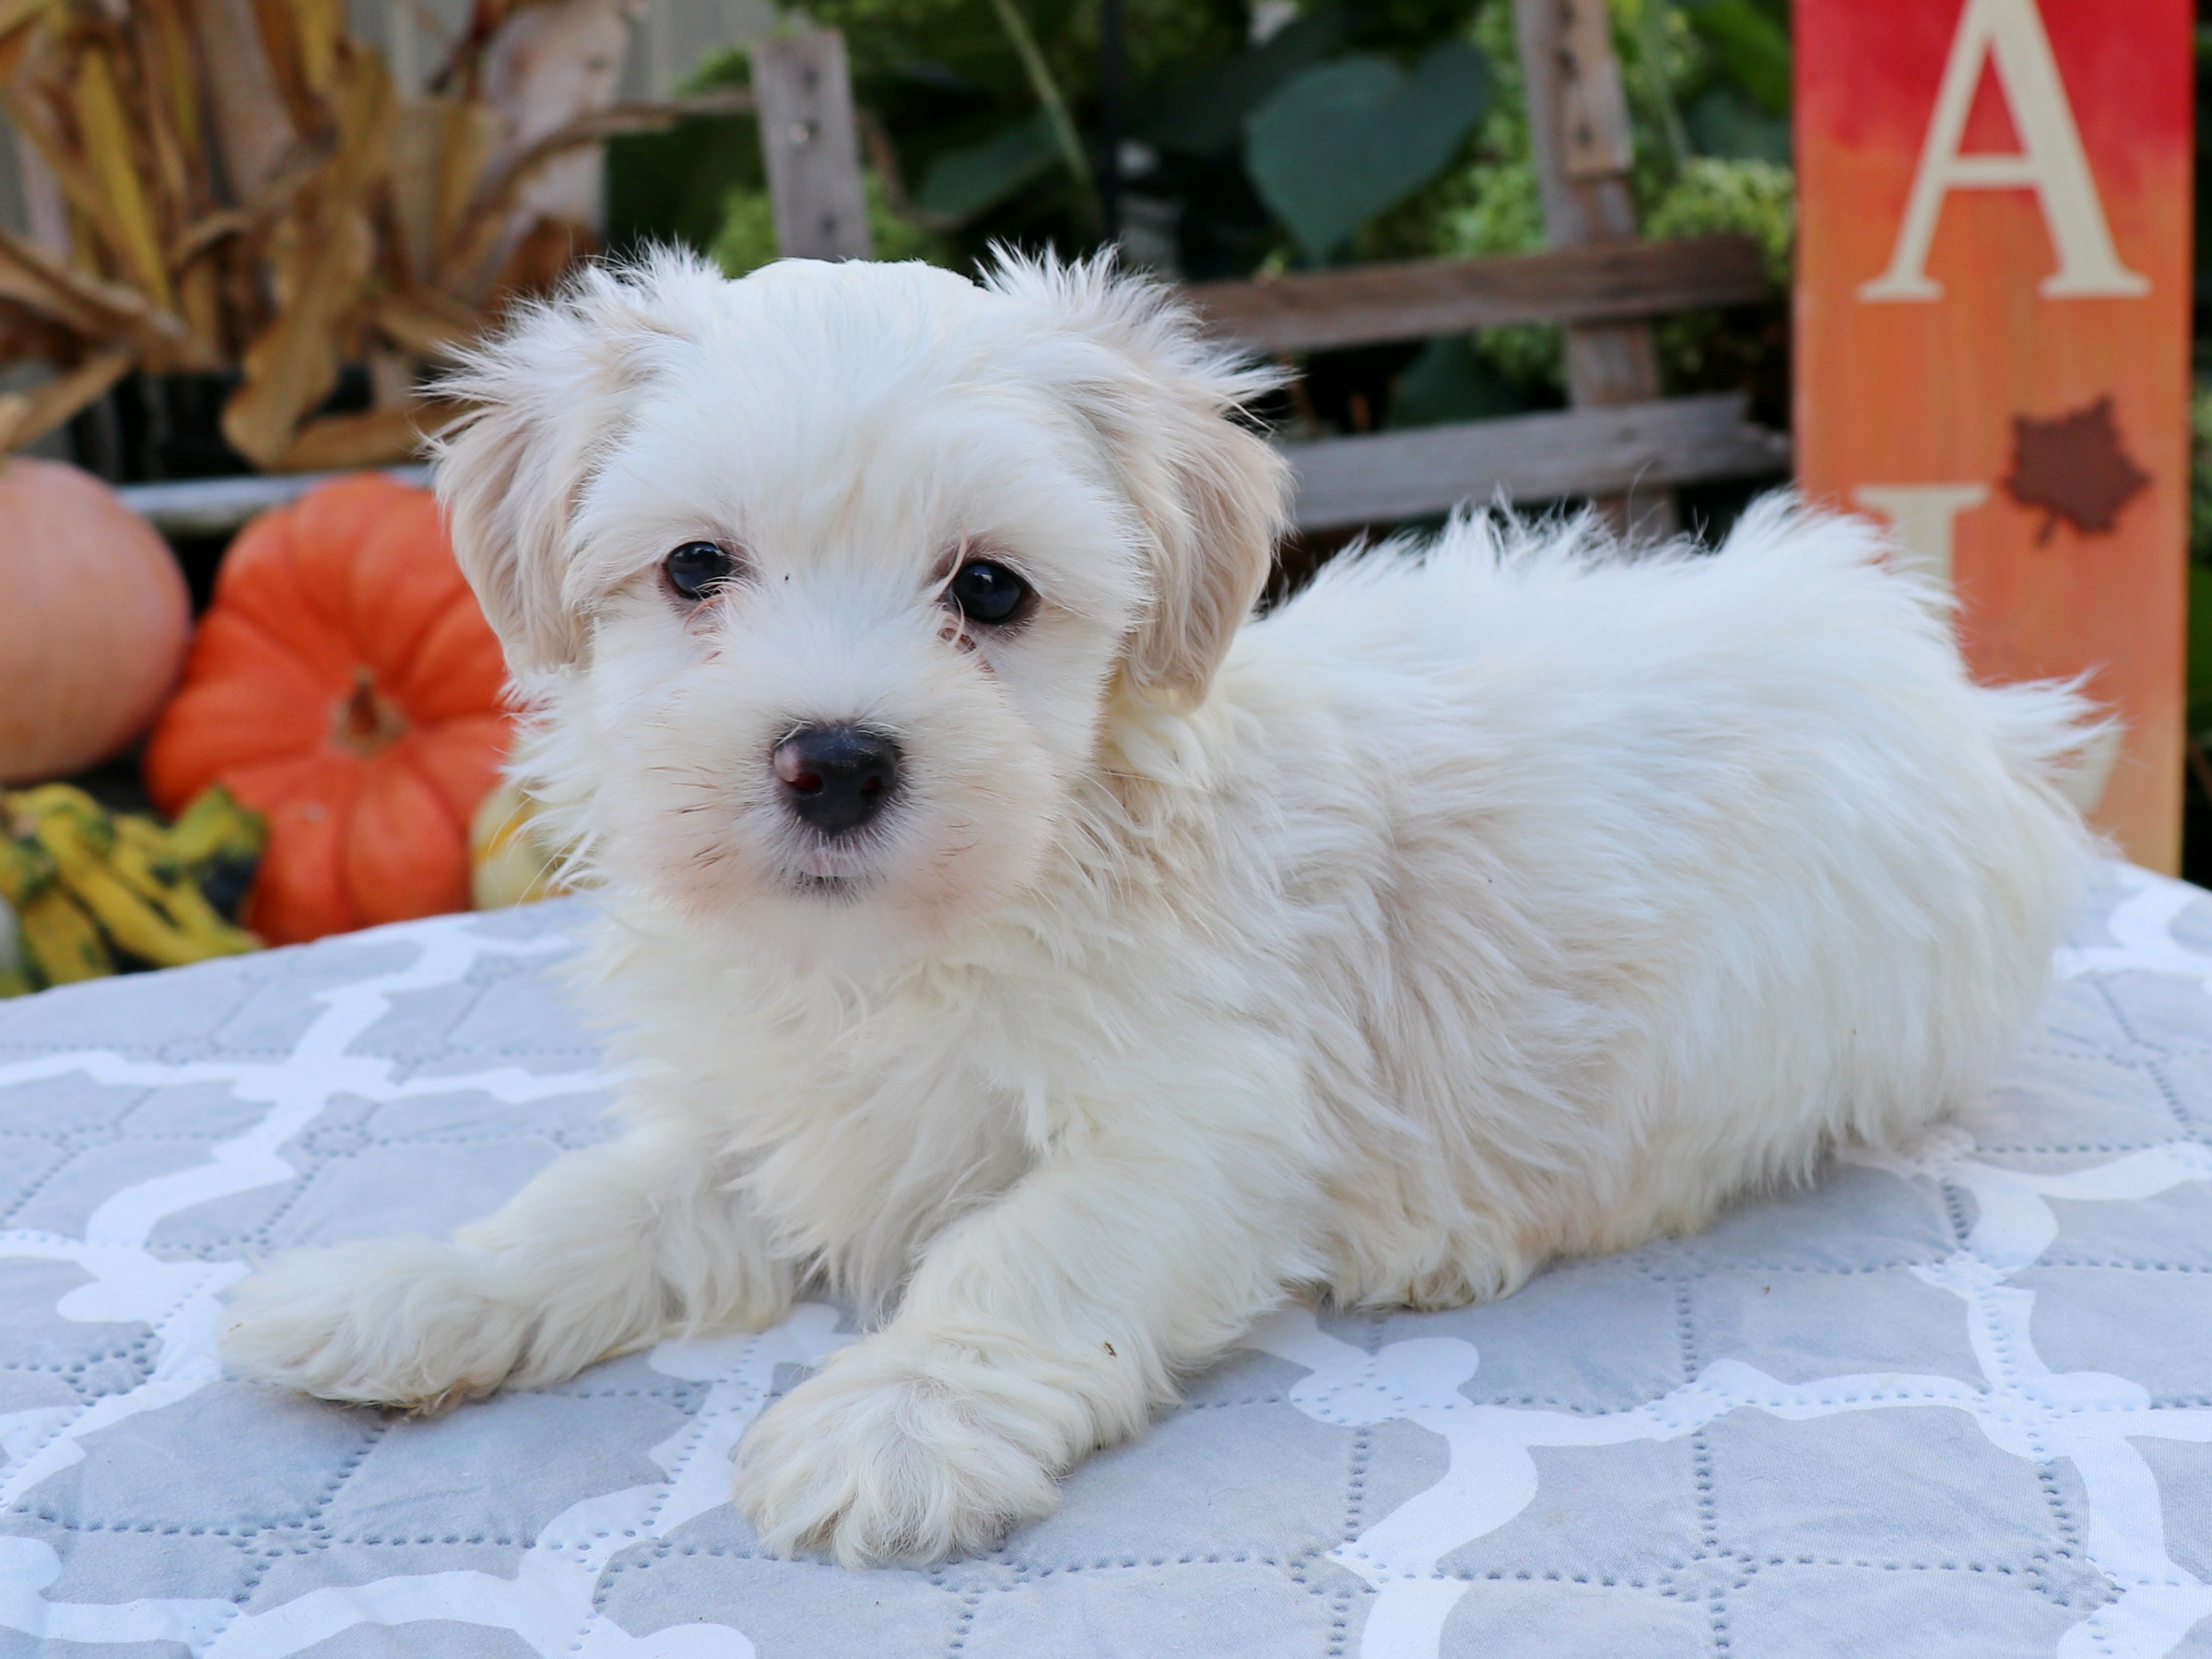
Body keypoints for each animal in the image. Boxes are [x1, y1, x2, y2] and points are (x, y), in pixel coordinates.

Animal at [221, 249, 2097, 1568]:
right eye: (696, 568)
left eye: (991, 590)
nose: (835, 758)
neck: (914, 939)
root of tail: (1977, 717)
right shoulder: (766, 1122)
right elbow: (591, 1209)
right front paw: (407, 1291)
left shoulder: (1204, 1121)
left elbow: (1021, 1254)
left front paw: (898, 1420)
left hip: (1768, 1002)